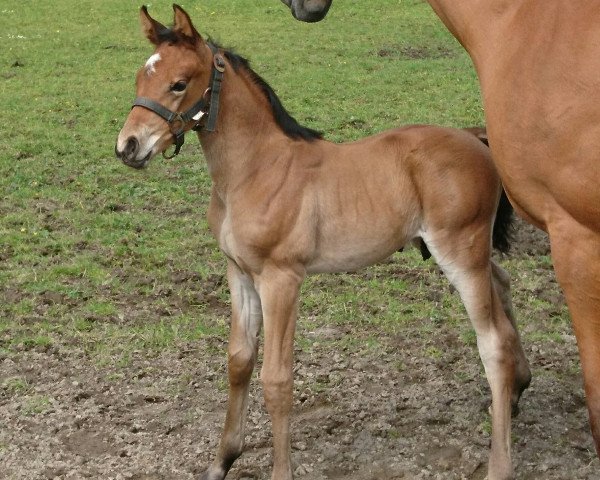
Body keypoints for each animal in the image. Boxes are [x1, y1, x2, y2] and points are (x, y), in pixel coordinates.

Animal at [116, 6, 528, 480]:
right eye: (139, 78)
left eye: (179, 83)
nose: (128, 147)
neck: (254, 168)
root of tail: (476, 139)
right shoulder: (239, 272)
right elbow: (239, 361)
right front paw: (221, 461)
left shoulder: (280, 279)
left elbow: (276, 379)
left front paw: (279, 471)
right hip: (469, 253)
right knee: (502, 290)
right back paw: (519, 389)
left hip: (460, 252)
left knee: (492, 343)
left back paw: (500, 460)